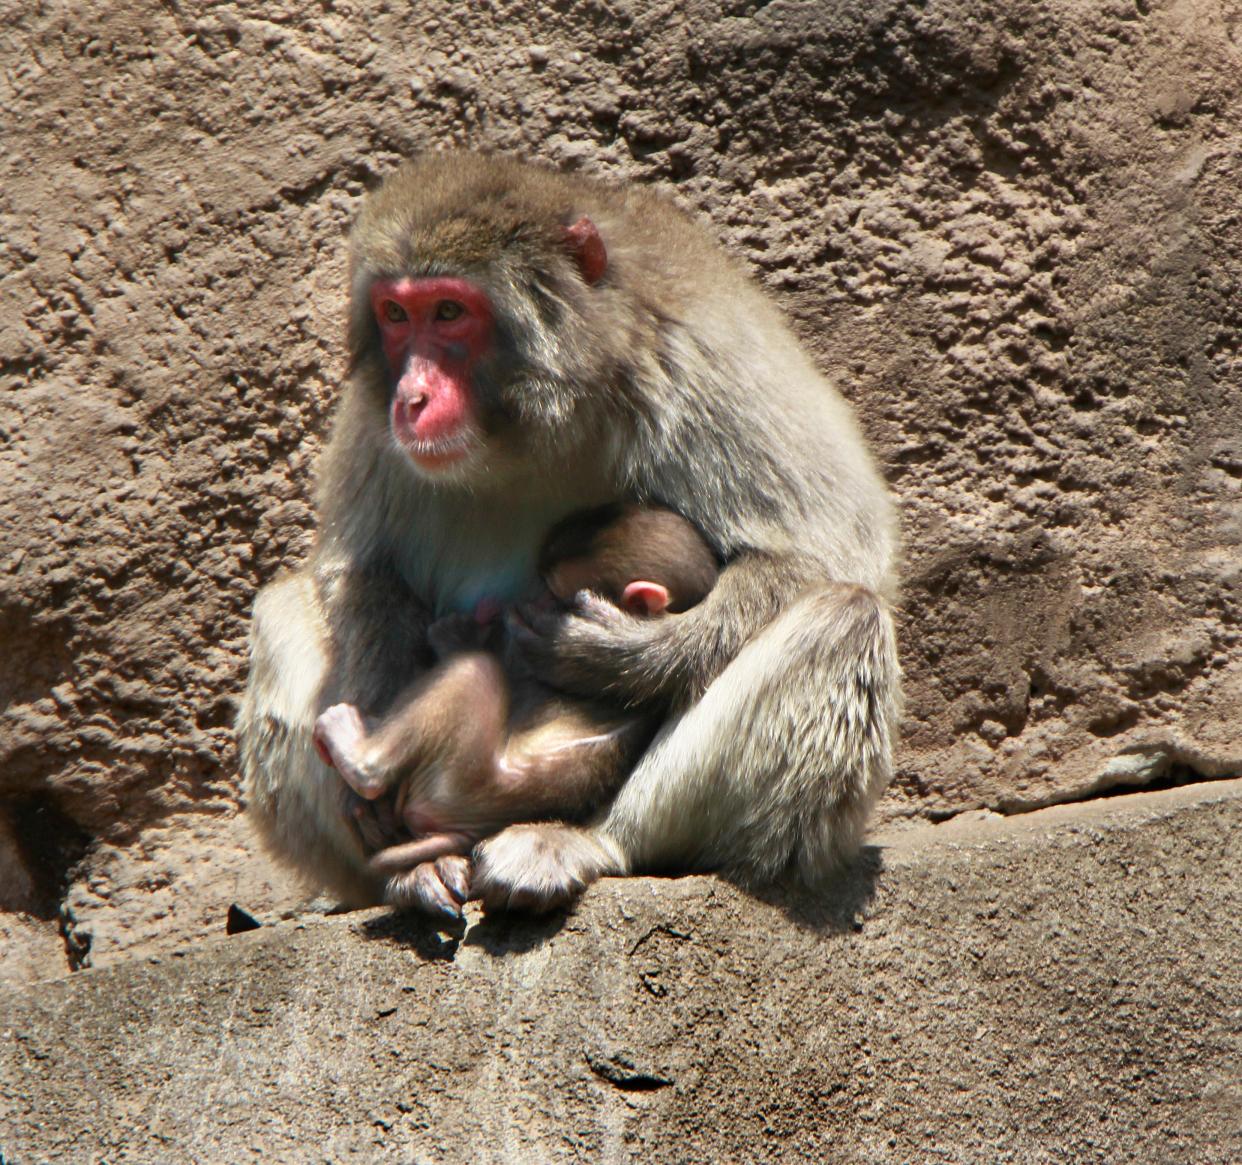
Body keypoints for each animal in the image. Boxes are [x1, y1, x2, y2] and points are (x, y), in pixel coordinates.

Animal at [308, 504, 720, 914]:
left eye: (553, 592)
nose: (528, 602)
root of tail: (468, 826)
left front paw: (458, 635)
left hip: (459, 775)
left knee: (475, 672)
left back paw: (356, 752)